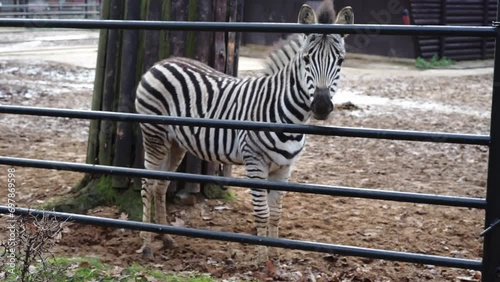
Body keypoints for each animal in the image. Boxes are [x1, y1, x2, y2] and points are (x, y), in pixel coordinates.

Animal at [135, 0, 354, 260]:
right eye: (306, 59)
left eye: (340, 61)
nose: (321, 106)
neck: (285, 111)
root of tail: (161, 63)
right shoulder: (255, 161)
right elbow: (262, 213)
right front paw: (262, 260)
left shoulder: (285, 168)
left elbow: (276, 213)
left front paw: (276, 255)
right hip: (154, 135)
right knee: (147, 185)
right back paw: (147, 244)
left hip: (176, 142)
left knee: (160, 186)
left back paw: (166, 237)